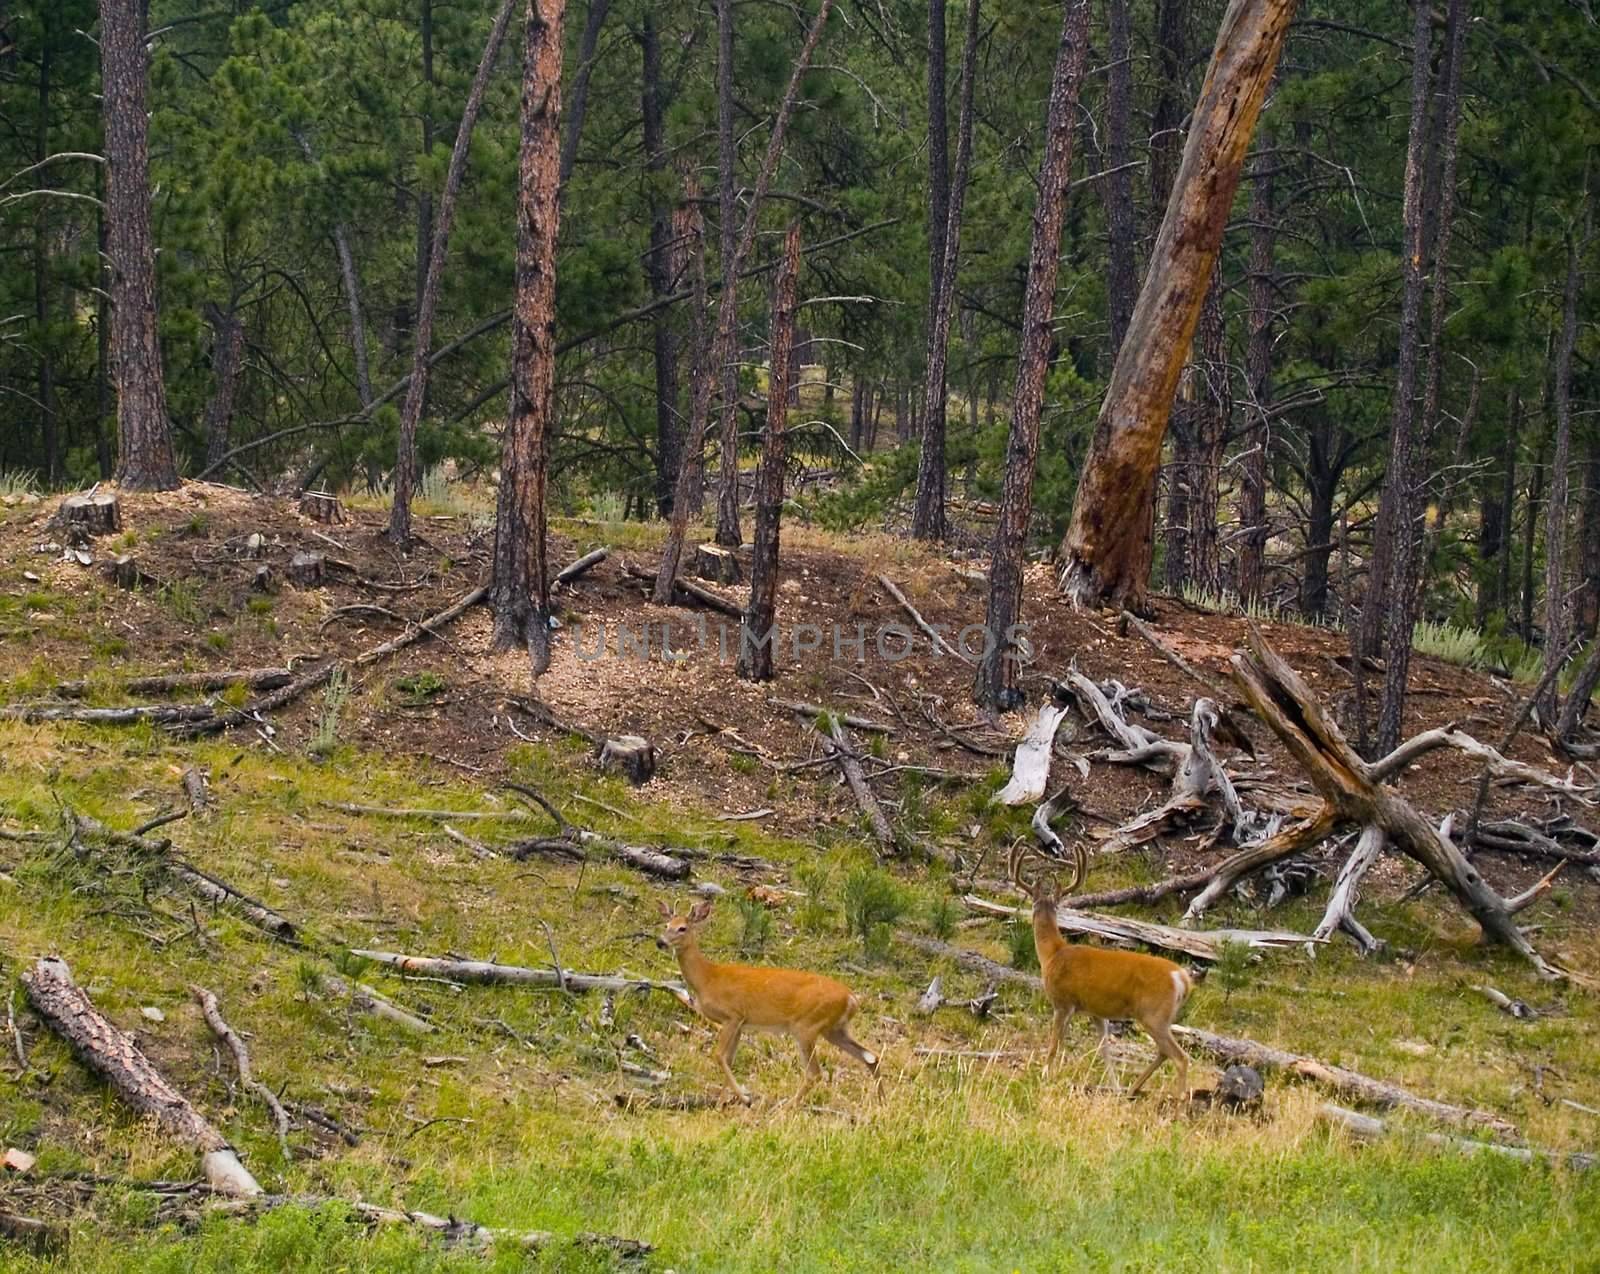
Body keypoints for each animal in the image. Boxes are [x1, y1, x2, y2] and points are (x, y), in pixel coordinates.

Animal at [649, 896, 883, 1107]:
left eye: (682, 928)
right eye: (666, 925)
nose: (660, 942)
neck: (707, 978)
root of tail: (851, 998)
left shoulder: (733, 1015)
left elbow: (719, 1056)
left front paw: (745, 1098)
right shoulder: (740, 1024)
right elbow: (729, 1059)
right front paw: (722, 1102)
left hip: (806, 1026)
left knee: (815, 1073)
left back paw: (786, 1106)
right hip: (834, 1029)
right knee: (871, 1056)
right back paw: (881, 1102)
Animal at [1004, 845, 1196, 1094]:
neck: (1053, 955)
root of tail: (1182, 978)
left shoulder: (1062, 1002)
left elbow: (1056, 1043)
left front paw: (1045, 1074)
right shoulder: (1096, 1012)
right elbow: (1104, 1050)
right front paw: (1113, 1086)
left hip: (1153, 1014)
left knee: (1180, 1057)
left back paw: (1178, 1100)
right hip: (1162, 1017)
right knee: (1164, 1052)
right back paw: (1132, 1090)